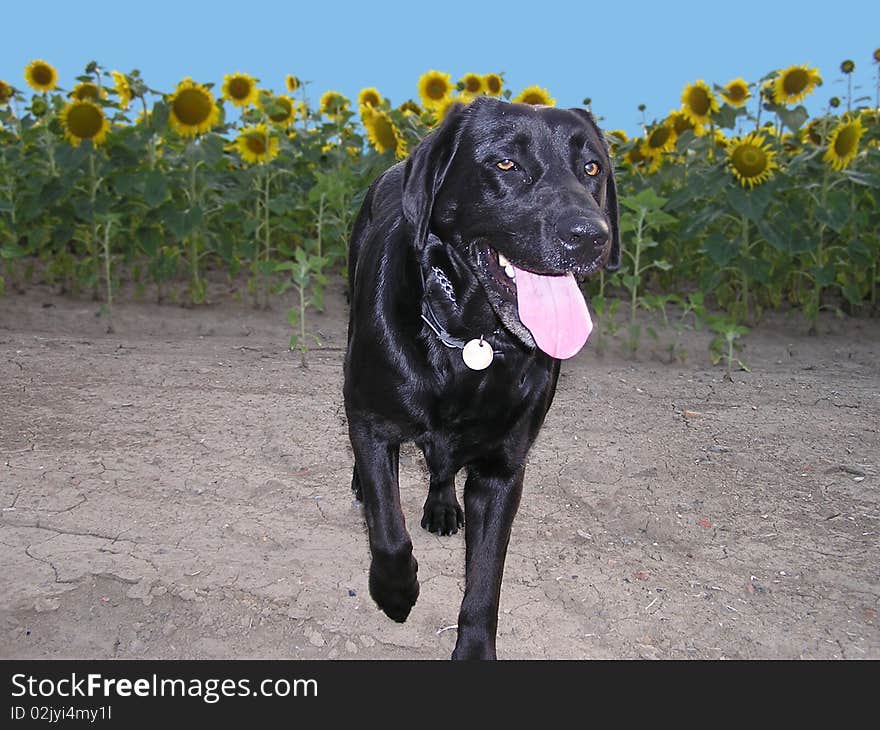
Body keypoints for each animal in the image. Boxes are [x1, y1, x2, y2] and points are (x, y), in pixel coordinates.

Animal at [344, 94, 620, 656]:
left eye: (592, 168)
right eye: (506, 164)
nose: (590, 237)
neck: (473, 337)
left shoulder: (502, 469)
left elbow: (486, 580)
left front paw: (473, 649)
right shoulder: (372, 422)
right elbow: (387, 524)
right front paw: (396, 589)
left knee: (444, 468)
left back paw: (443, 504)